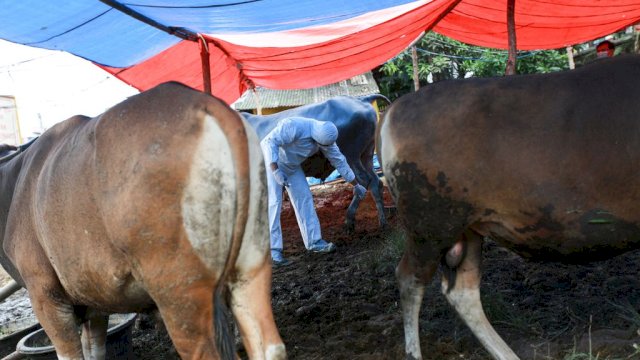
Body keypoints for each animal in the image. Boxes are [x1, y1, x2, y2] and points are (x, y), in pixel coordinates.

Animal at [0, 82, 284, 360]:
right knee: (270, 346)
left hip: (179, 297)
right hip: (250, 271)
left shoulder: (45, 297)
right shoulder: (95, 305)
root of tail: (208, 106)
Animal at [240, 94, 390, 232]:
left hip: (350, 155)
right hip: (366, 153)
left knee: (364, 180)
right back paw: (382, 222)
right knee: (376, 181)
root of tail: (361, 99)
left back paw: (349, 219)